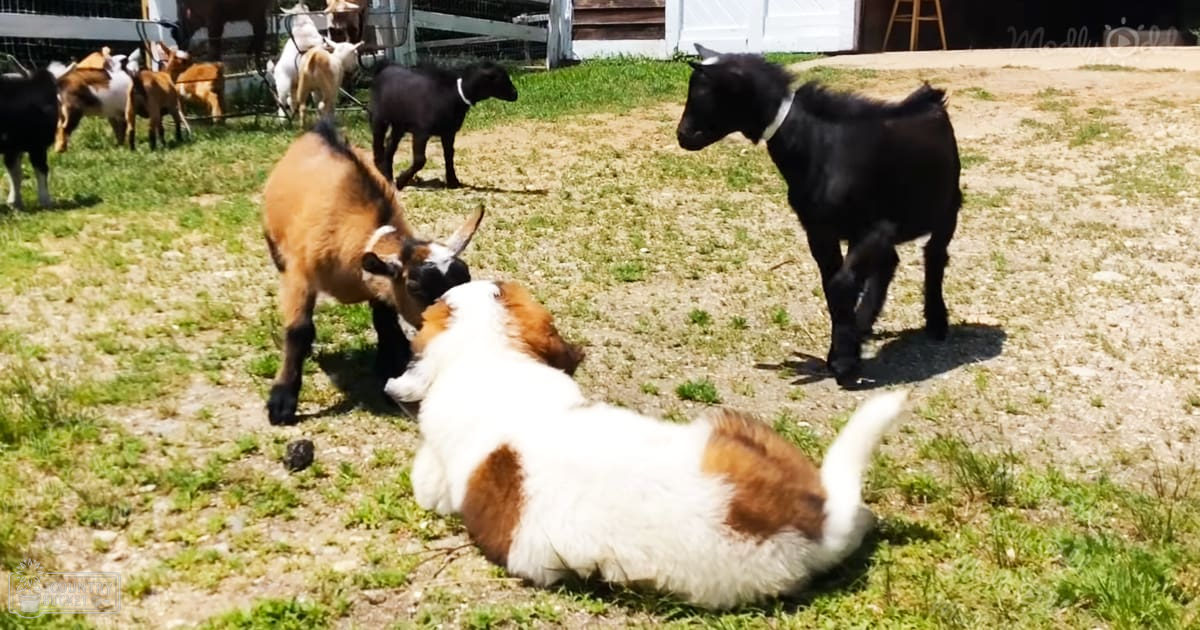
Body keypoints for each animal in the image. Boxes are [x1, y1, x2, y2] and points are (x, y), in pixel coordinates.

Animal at [1, 64, 67, 208]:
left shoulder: (14, 147)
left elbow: (15, 173)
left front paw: (15, 202)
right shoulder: (37, 144)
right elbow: (40, 170)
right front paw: (45, 201)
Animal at [261, 120, 485, 425]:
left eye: (466, 278)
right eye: (416, 287)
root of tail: (320, 128)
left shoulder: (381, 283)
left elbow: (385, 323)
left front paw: (391, 367)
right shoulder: (300, 275)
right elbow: (298, 330)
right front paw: (282, 402)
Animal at [369, 61, 518, 189]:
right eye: (502, 79)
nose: (515, 94)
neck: (455, 95)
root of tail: (385, 68)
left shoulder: (449, 132)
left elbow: (449, 155)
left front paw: (453, 181)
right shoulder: (421, 131)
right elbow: (420, 160)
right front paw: (401, 181)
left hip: (399, 124)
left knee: (390, 145)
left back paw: (388, 174)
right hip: (378, 117)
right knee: (378, 144)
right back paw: (382, 172)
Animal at [676, 45, 962, 387]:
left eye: (705, 95)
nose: (682, 135)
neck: (816, 146)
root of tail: (932, 99)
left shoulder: (875, 227)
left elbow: (841, 284)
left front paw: (843, 361)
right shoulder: (820, 229)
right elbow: (832, 286)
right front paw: (842, 351)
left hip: (948, 206)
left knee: (935, 256)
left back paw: (936, 322)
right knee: (888, 263)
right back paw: (864, 324)